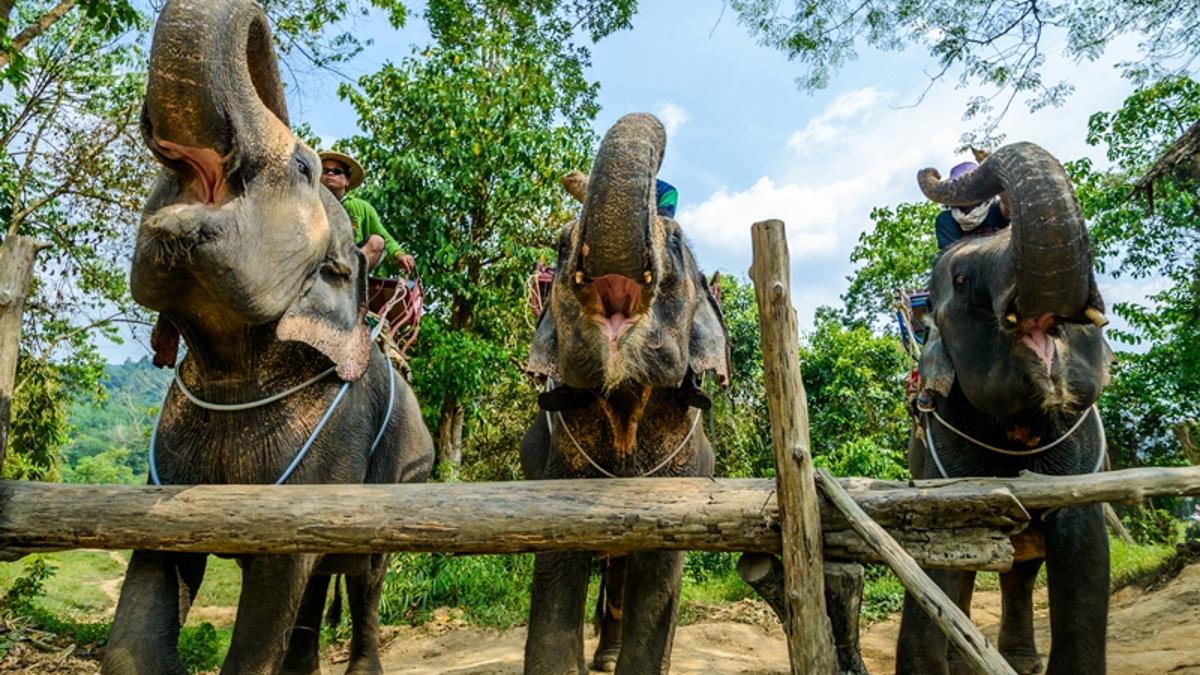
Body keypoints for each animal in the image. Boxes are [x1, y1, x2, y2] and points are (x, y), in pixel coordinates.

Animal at [100, 1, 434, 672]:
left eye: (303, 166)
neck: (234, 363)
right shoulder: (165, 468)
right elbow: (150, 581)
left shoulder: (334, 437)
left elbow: (278, 580)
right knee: (324, 578)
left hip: (407, 474)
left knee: (365, 572)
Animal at [902, 141, 1113, 672]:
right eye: (960, 279)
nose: (931, 169)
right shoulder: (942, 448)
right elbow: (936, 563)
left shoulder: (1084, 453)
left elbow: (1083, 554)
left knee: (1021, 566)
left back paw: (1018, 662)